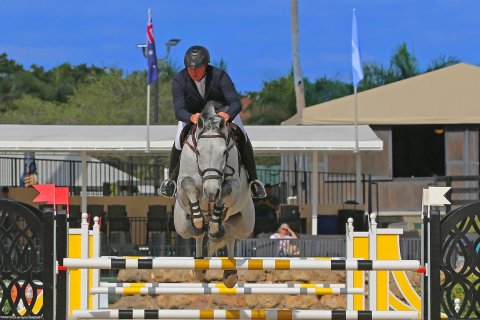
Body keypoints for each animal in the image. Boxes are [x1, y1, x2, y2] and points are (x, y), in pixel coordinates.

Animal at [172, 100, 255, 288]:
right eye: (198, 152)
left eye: (224, 152)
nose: (210, 192)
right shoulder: (182, 185)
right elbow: (188, 184)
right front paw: (197, 221)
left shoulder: (235, 187)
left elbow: (225, 189)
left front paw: (215, 224)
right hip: (180, 225)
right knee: (198, 234)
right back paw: (199, 267)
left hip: (244, 224)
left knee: (230, 235)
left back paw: (229, 272)